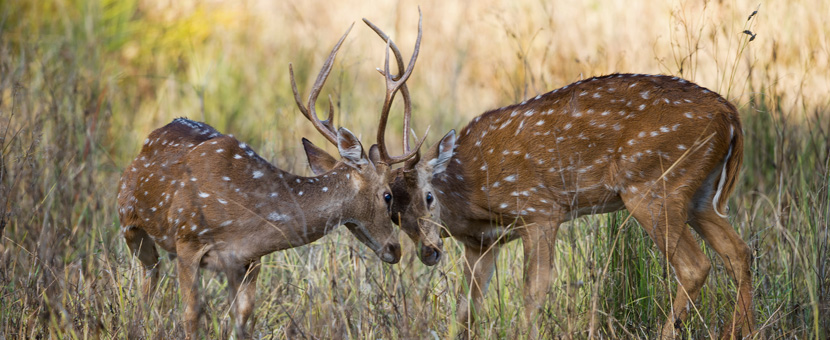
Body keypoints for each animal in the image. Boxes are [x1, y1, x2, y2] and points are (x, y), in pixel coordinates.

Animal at [115, 25, 422, 338]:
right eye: (387, 195)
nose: (395, 249)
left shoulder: (249, 261)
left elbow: (242, 320)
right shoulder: (187, 240)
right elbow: (191, 316)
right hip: (130, 222)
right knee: (148, 279)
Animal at [308, 19, 756, 340]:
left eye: (429, 196)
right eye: (393, 210)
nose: (430, 252)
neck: (473, 194)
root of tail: (731, 116)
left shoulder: (540, 210)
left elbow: (532, 293)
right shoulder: (481, 244)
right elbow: (466, 310)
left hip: (653, 185)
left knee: (695, 265)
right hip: (698, 193)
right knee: (739, 253)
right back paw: (743, 332)